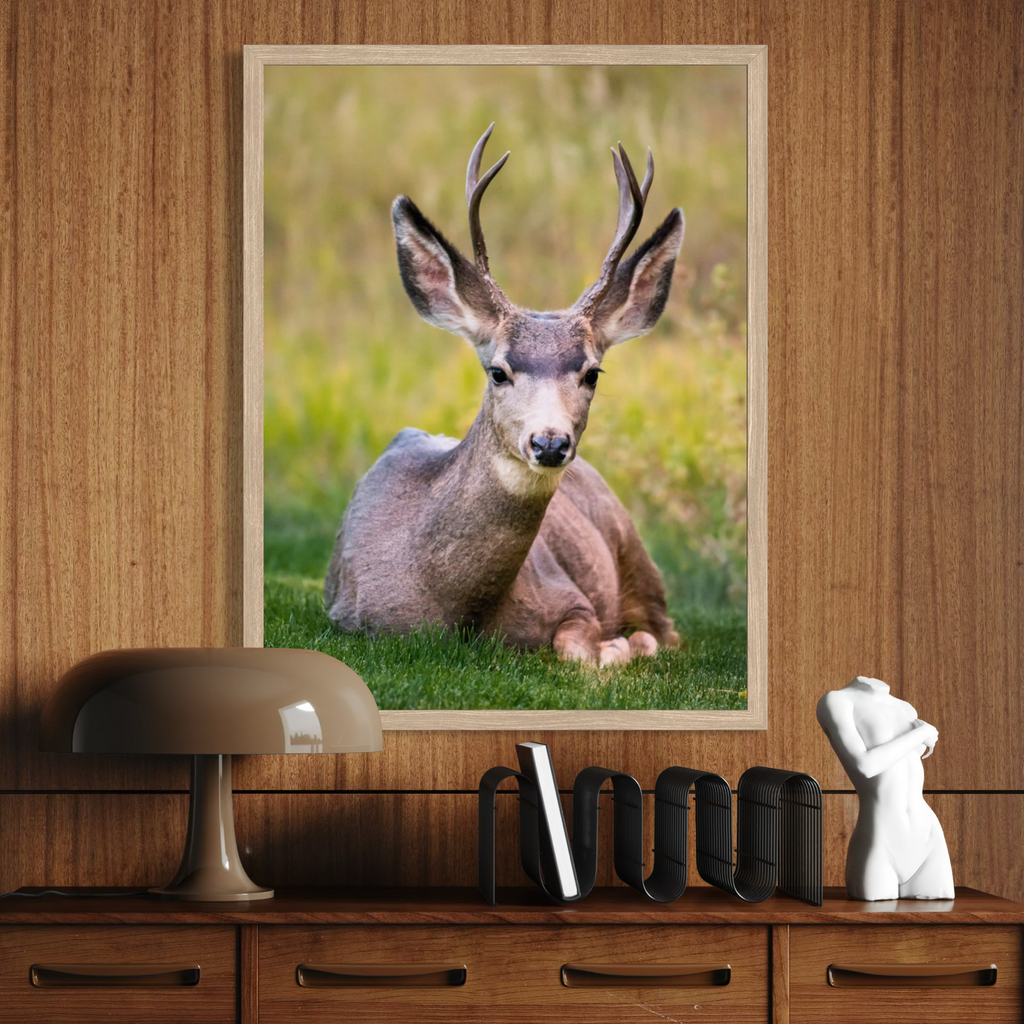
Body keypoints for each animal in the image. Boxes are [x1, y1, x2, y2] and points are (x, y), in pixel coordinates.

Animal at [325, 125, 685, 666]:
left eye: (593, 374)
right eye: (498, 372)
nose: (550, 442)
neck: (456, 610)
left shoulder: (572, 597)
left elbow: (578, 649)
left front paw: (619, 646)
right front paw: (619, 647)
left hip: (633, 549)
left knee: (670, 631)